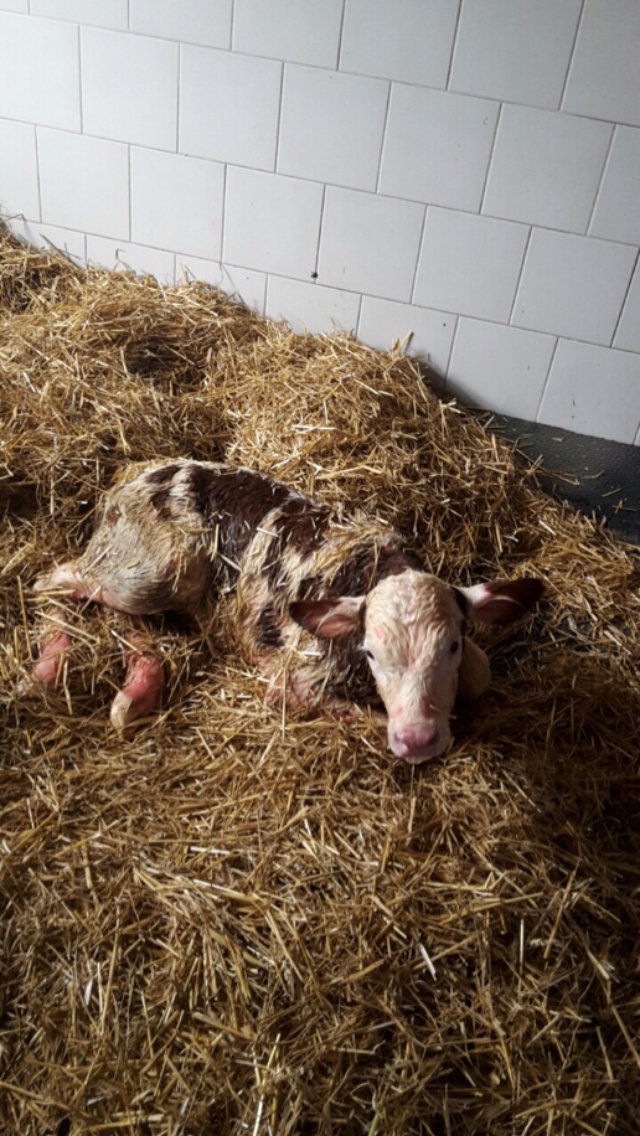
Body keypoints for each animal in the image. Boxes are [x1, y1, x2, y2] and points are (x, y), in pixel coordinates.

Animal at [32, 460, 543, 763]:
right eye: (371, 652)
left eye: (453, 645)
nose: (417, 738)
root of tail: (130, 477)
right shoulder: (293, 676)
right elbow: (349, 712)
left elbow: (481, 674)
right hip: (155, 567)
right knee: (50, 582)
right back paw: (48, 668)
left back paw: (137, 690)